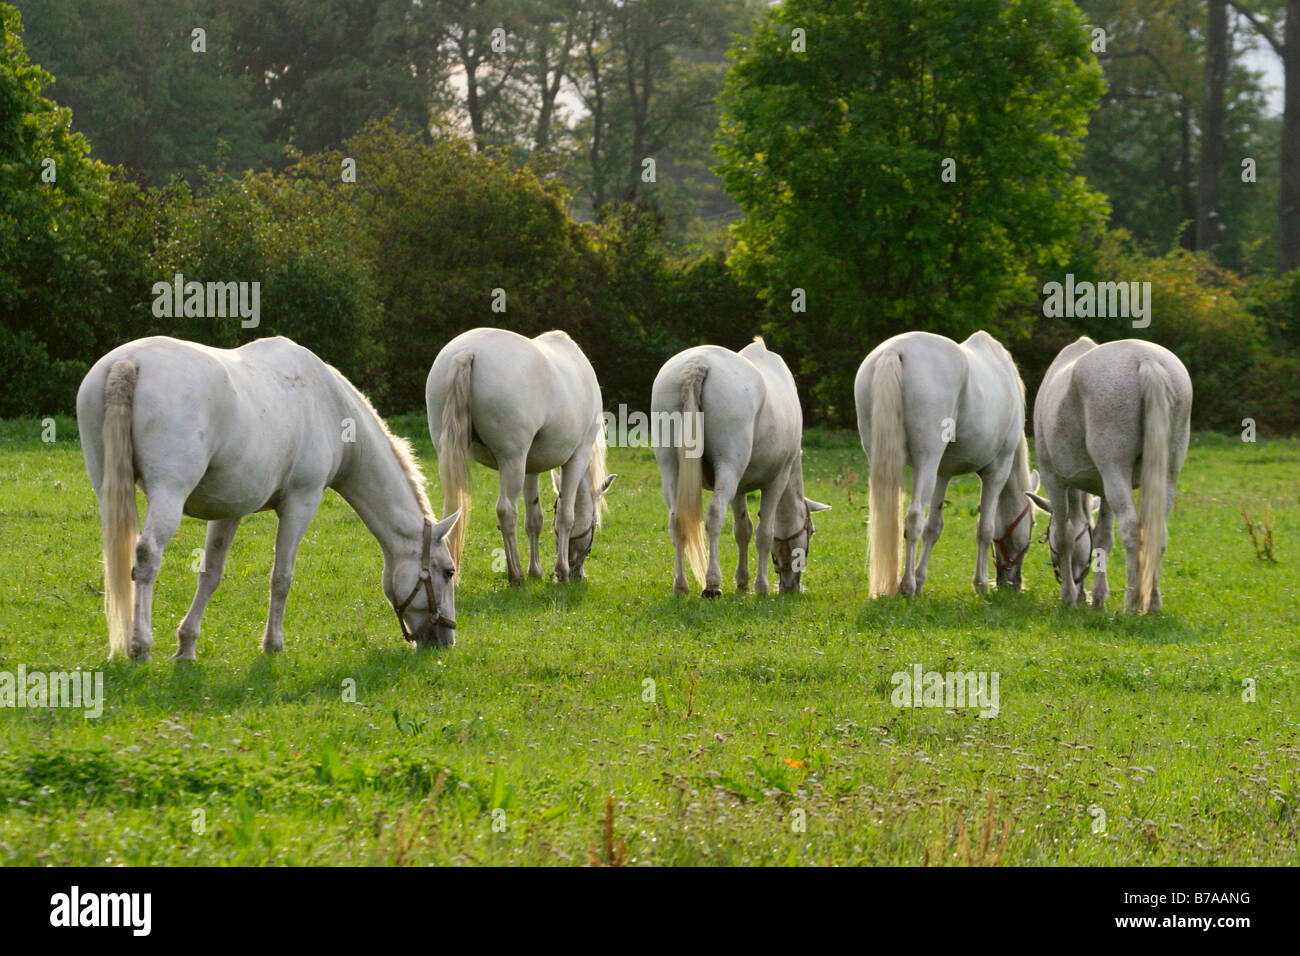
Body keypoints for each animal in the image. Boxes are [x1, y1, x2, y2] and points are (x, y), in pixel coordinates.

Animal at [76, 335, 460, 662]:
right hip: (168, 494)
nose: (445, 640)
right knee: (147, 555)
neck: (329, 406)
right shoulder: (300, 504)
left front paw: (186, 646)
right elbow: (282, 577)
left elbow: (210, 574)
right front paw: (273, 645)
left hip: (108, 491)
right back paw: (140, 646)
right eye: (448, 571)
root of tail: (129, 362)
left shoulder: (228, 511)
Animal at [426, 328, 615, 585]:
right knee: (506, 511)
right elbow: (566, 516)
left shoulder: (531, 468)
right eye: (595, 522)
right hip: (512, 461)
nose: (579, 573)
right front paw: (561, 572)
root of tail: (468, 351)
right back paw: (515, 575)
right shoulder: (577, 458)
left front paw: (536, 571)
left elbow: (534, 519)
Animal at [650, 337, 830, 597]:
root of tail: (698, 363)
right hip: (729, 467)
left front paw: (742, 582)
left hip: (672, 469)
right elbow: (764, 533)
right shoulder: (777, 481)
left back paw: (681, 586)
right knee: (715, 514)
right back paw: (712, 584)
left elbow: (743, 530)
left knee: (676, 519)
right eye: (811, 531)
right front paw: (761, 586)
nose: (790, 587)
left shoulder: (739, 488)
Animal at [854, 330, 1037, 598]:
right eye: (1033, 523)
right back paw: (907, 586)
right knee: (913, 518)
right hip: (927, 460)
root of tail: (895, 351)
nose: (1013, 583)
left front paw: (921, 579)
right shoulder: (997, 472)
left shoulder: (942, 474)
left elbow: (934, 527)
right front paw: (981, 585)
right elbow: (985, 528)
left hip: (885, 458)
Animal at [1027, 337, 1192, 612]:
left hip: (1114, 470)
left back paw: (1132, 603)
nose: (1079, 591)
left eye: (1046, 540)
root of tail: (1146, 359)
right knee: (1158, 531)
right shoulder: (1103, 489)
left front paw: (1068, 596)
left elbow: (1064, 537)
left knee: (1132, 529)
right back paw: (1153, 603)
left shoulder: (1054, 479)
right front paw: (1097, 599)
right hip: (1167, 474)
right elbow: (1103, 539)